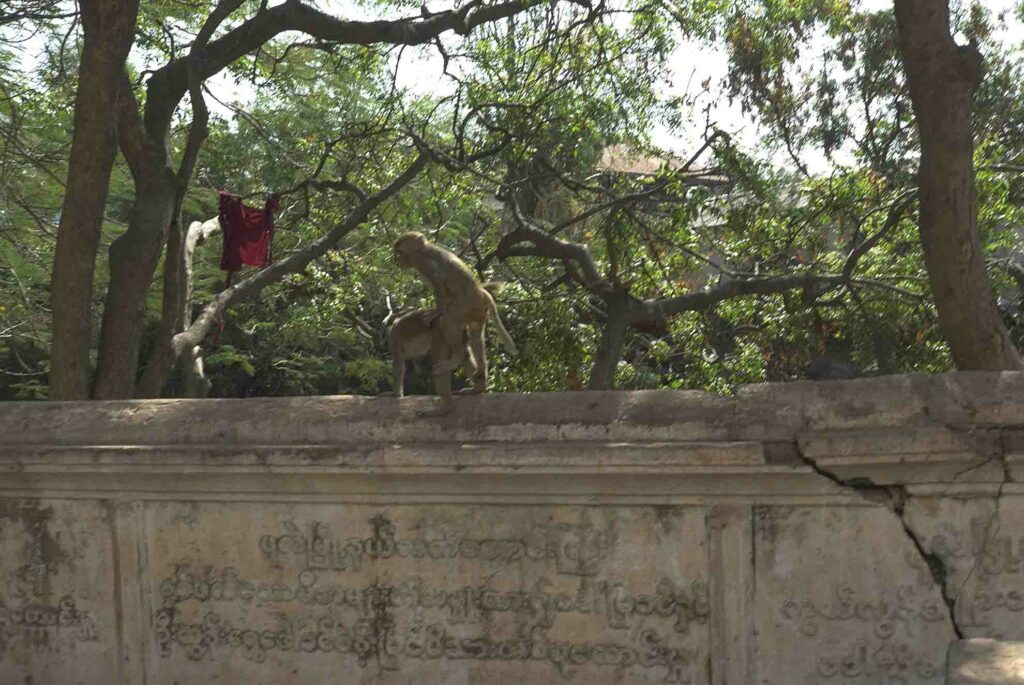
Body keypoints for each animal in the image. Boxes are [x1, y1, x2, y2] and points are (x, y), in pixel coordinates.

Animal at [393, 232, 520, 397]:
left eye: (400, 252)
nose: (397, 260)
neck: (423, 249)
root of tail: (482, 293)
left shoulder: (424, 262)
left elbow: (439, 284)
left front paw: (436, 311)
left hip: (466, 305)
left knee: (448, 321)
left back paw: (456, 359)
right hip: (477, 312)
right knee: (476, 337)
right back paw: (479, 382)